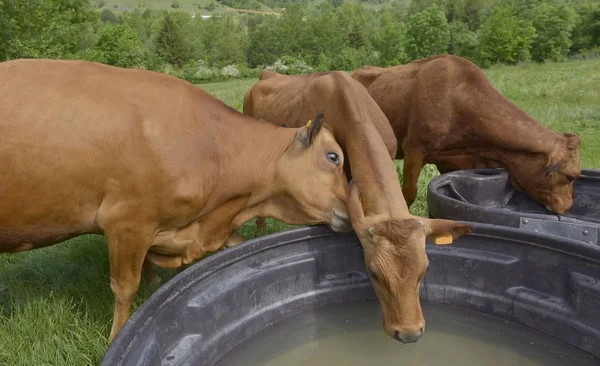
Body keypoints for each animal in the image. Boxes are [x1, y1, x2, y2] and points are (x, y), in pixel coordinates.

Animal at [0, 58, 354, 342]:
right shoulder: (126, 221)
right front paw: (116, 336)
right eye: (333, 157)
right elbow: (124, 288)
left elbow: (237, 247)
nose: (351, 212)